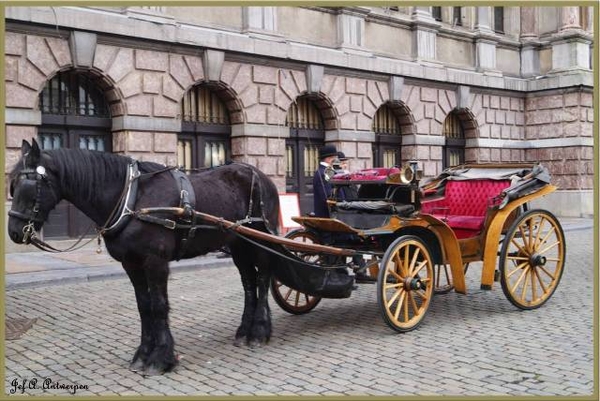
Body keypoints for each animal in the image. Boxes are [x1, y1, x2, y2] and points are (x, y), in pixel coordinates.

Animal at [7, 138, 280, 376]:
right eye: (12, 184)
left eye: (29, 185)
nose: (14, 231)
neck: (133, 199)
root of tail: (260, 175)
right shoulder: (131, 263)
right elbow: (144, 306)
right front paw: (143, 353)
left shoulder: (155, 261)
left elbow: (159, 306)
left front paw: (162, 357)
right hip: (238, 244)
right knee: (248, 283)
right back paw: (244, 331)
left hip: (261, 238)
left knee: (264, 276)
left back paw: (259, 330)